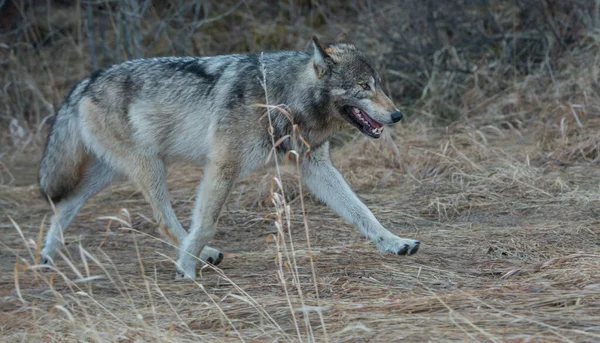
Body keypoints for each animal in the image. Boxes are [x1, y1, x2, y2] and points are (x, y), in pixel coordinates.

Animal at [37, 35, 420, 278]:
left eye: (378, 84)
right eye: (363, 87)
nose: (397, 115)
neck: (282, 97)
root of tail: (85, 81)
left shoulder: (316, 167)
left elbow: (362, 212)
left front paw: (395, 243)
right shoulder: (223, 166)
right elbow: (206, 223)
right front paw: (186, 269)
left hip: (108, 174)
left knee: (64, 205)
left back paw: (46, 257)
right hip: (148, 167)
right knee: (164, 220)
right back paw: (197, 256)